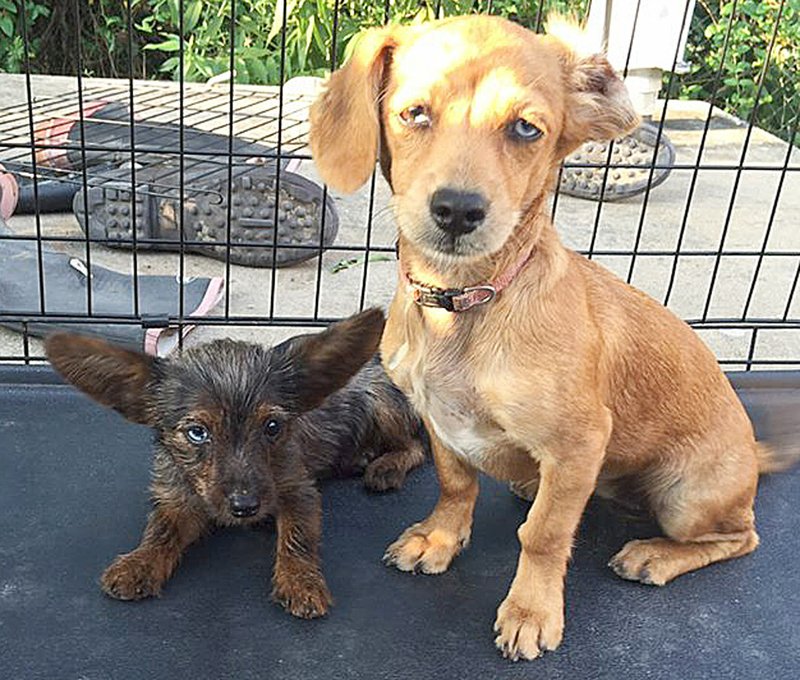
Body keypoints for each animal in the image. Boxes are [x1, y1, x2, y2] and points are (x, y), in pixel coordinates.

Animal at [43, 310, 424, 620]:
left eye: (272, 426)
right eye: (197, 433)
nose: (245, 507)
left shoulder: (298, 490)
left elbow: (298, 537)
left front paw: (301, 581)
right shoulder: (178, 499)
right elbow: (160, 530)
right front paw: (140, 563)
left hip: (383, 405)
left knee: (416, 446)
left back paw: (384, 466)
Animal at [310, 14, 792, 660]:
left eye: (525, 128)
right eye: (414, 114)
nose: (457, 210)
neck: (464, 305)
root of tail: (751, 458)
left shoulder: (579, 445)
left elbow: (543, 533)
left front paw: (531, 612)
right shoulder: (440, 423)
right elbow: (454, 484)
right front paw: (440, 539)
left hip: (687, 497)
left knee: (742, 537)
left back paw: (655, 555)